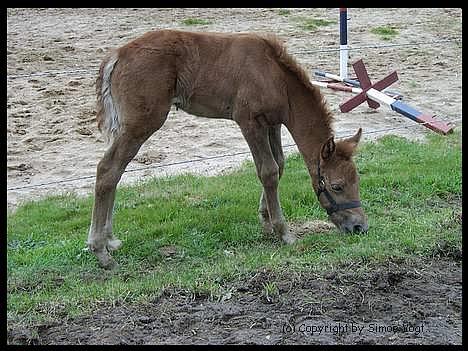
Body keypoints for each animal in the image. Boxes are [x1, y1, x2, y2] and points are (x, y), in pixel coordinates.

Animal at [87, 29, 366, 270]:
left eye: (357, 180)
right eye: (336, 186)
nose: (359, 227)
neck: (276, 77)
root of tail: (117, 54)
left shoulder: (272, 123)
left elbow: (280, 164)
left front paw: (265, 219)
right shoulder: (249, 122)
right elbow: (268, 171)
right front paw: (283, 232)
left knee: (115, 172)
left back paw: (110, 240)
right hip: (142, 124)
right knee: (107, 169)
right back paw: (100, 250)